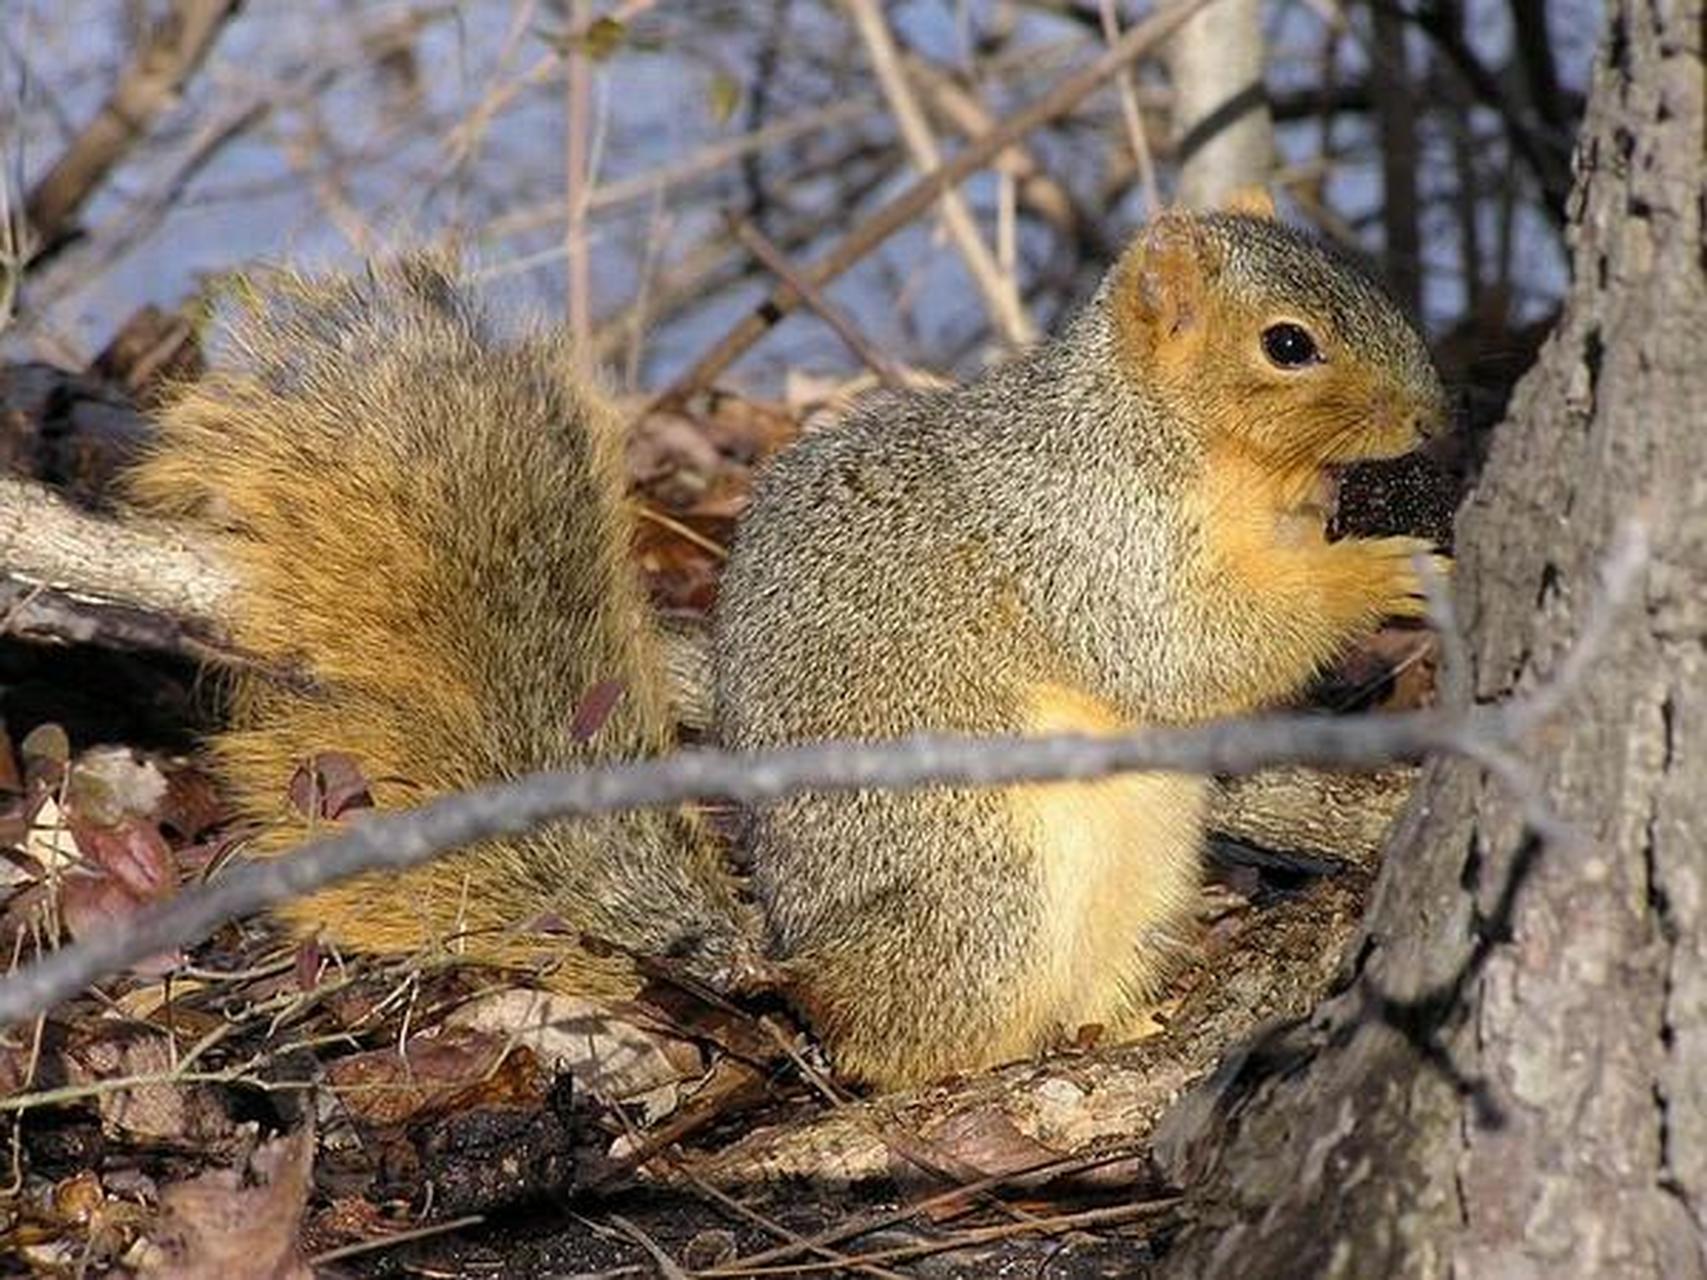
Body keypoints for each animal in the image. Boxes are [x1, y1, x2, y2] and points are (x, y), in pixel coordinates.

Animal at [126, 195, 1447, 1099]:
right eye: (1288, 344)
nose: (1434, 415)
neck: (1162, 433)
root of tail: (797, 973)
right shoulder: (1078, 531)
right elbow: (1176, 647)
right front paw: (1377, 572)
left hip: (1142, 879)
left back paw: (1126, 1027)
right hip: (986, 884)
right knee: (906, 1044)